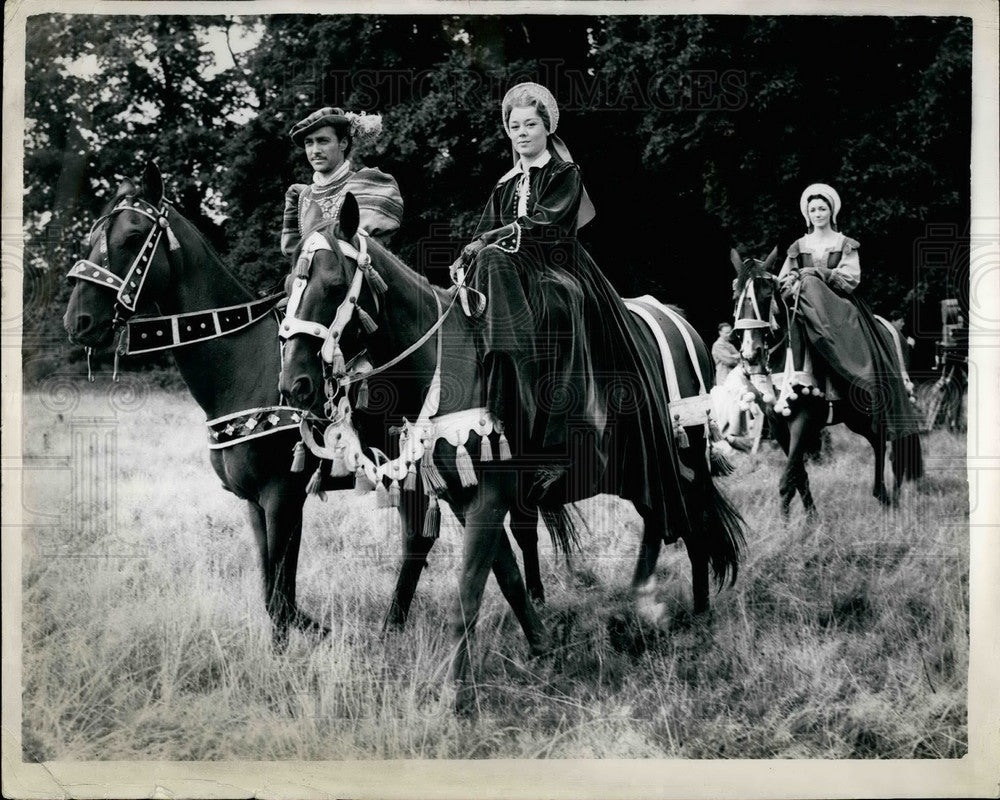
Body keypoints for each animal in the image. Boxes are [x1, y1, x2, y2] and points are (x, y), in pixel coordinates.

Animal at [63, 161, 446, 644]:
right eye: (94, 233)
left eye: (133, 236)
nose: (78, 320)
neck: (240, 365)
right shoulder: (256, 502)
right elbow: (277, 590)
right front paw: (316, 628)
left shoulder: (281, 495)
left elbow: (279, 601)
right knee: (418, 537)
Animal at [278, 194, 748, 712]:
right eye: (286, 292)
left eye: (333, 284)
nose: (294, 384)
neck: (444, 363)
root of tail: (681, 322)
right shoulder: (468, 500)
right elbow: (508, 578)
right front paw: (541, 646)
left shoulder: (488, 499)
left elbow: (469, 590)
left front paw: (457, 692)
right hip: (646, 465)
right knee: (664, 518)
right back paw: (647, 603)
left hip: (683, 455)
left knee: (691, 520)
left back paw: (684, 612)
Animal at [732, 247, 924, 516]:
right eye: (735, 297)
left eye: (767, 294)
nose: (751, 355)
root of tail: (894, 330)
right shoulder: (777, 423)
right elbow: (799, 476)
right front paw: (811, 519)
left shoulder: (803, 419)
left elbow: (787, 480)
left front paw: (789, 524)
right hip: (857, 416)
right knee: (878, 442)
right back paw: (884, 497)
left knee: (890, 446)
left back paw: (892, 502)